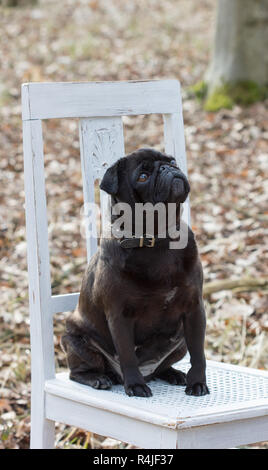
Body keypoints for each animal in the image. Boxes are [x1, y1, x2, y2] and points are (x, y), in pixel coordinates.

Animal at [62, 148, 209, 396]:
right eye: (142, 176)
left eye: (172, 161)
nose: (166, 168)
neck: (158, 239)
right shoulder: (119, 316)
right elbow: (127, 354)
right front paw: (135, 384)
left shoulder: (194, 309)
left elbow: (198, 353)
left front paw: (197, 382)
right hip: (75, 341)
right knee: (78, 372)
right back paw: (99, 378)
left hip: (179, 341)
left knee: (164, 365)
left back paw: (172, 374)